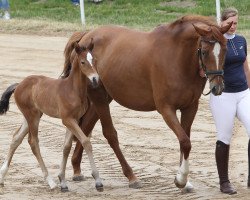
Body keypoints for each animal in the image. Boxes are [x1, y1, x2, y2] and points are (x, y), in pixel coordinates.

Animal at [0, 41, 103, 192]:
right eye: (83, 62)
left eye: (94, 60)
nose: (95, 79)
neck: (73, 90)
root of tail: (19, 85)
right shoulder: (67, 119)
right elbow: (85, 141)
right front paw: (98, 181)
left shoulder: (73, 119)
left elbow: (66, 147)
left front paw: (63, 181)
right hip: (33, 117)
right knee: (33, 142)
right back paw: (50, 181)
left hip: (31, 116)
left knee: (16, 138)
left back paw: (2, 176)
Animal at [62, 15, 230, 191]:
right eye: (204, 52)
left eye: (225, 50)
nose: (218, 87)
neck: (178, 57)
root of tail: (86, 35)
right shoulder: (166, 109)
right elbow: (185, 141)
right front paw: (181, 179)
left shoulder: (190, 108)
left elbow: (184, 140)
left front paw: (184, 180)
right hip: (99, 96)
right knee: (110, 134)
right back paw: (131, 176)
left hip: (103, 98)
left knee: (85, 127)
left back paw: (76, 168)